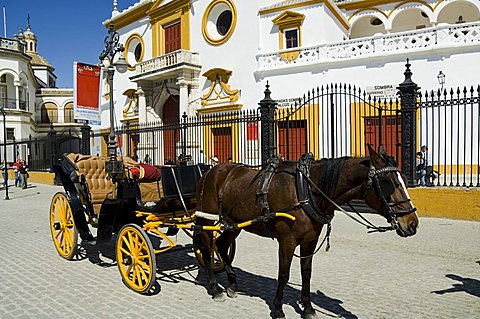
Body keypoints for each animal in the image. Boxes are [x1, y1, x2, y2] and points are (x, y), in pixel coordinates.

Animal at [193, 146, 418, 319]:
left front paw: (307, 308)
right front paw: (278, 309)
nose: (413, 223)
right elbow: (283, 274)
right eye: (389, 183)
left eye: (404, 179)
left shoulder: (310, 240)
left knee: (221, 244)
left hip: (233, 223)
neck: (306, 190)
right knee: (206, 245)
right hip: (207, 219)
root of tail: (211, 172)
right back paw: (214, 287)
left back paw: (232, 284)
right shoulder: (287, 240)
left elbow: (306, 273)